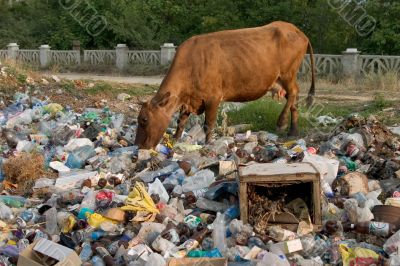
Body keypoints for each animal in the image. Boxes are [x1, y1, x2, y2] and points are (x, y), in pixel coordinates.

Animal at [134, 20, 316, 150]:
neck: (190, 64)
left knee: (294, 93)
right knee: (294, 99)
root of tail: (296, 30)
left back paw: (282, 122)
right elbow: (181, 122)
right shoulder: (188, 100)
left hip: (288, 73)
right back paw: (293, 131)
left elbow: (208, 124)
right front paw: (175, 139)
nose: (138, 145)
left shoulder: (213, 97)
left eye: (144, 119)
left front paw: (208, 144)